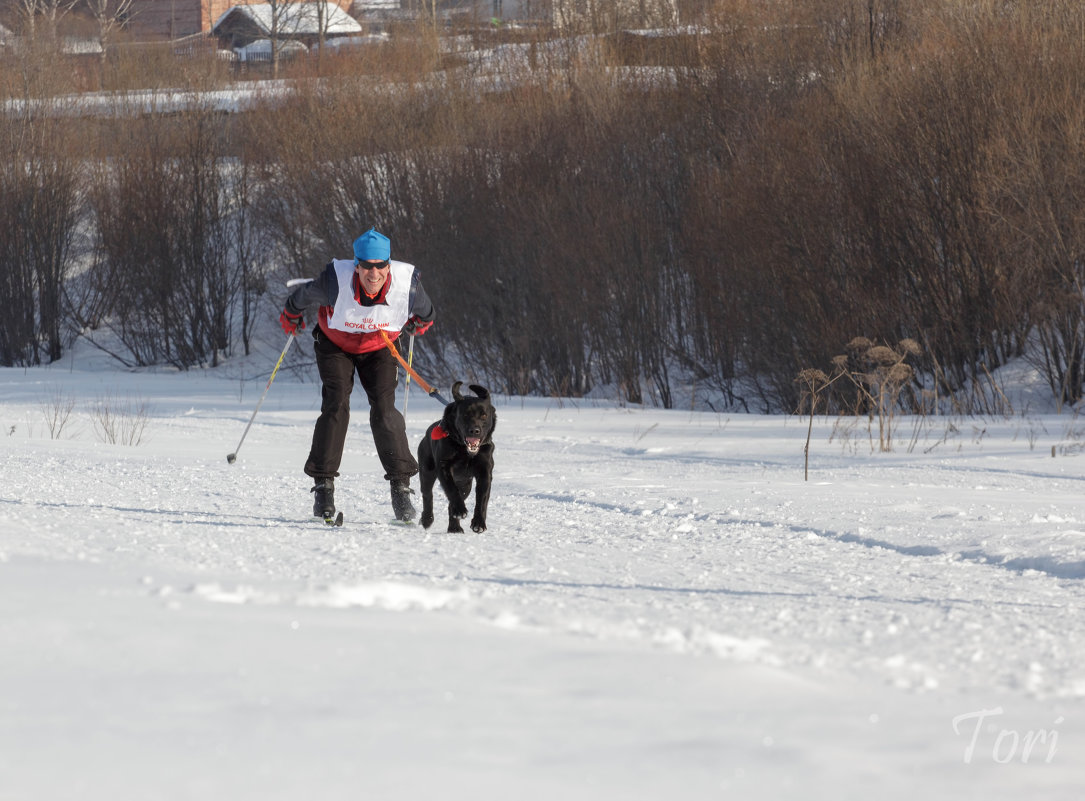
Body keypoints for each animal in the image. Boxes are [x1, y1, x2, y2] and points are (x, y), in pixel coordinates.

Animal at [416, 379, 496, 529]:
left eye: (484, 415)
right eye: (465, 415)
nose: (475, 430)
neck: (465, 451)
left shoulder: (485, 471)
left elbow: (482, 498)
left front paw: (478, 522)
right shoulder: (444, 467)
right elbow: (451, 490)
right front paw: (459, 510)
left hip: (466, 484)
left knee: (452, 503)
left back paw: (455, 528)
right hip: (426, 472)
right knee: (427, 495)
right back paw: (427, 519)